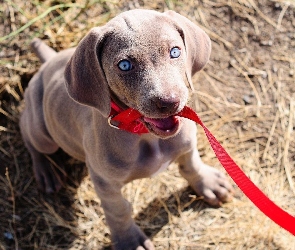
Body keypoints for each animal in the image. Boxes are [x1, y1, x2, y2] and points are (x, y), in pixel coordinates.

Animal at [20, 8, 234, 249]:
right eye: (124, 65)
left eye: (175, 52)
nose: (169, 101)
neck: (146, 135)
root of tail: (49, 62)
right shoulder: (105, 182)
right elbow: (118, 210)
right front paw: (129, 240)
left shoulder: (187, 143)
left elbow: (191, 164)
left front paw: (208, 183)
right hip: (41, 132)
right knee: (28, 134)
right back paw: (46, 171)